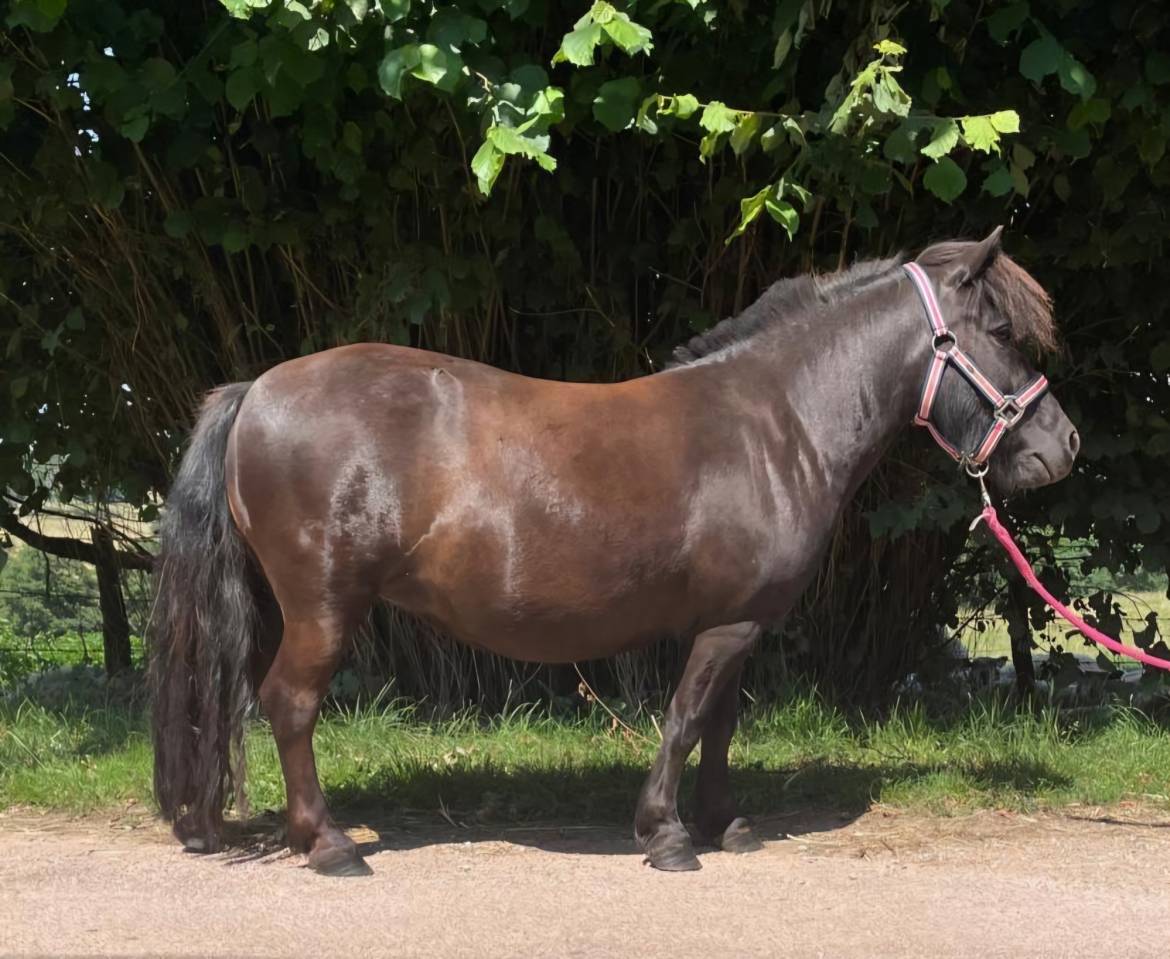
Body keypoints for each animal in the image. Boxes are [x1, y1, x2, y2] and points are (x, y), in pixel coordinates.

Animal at [150, 228, 1079, 876]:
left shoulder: (732, 622)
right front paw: (666, 833)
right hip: (325, 606)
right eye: (1000, 329)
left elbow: (720, 725)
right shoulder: (729, 624)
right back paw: (331, 843)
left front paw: (725, 822)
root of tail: (256, 389)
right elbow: (685, 718)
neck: (772, 422)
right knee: (290, 704)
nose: (1063, 445)